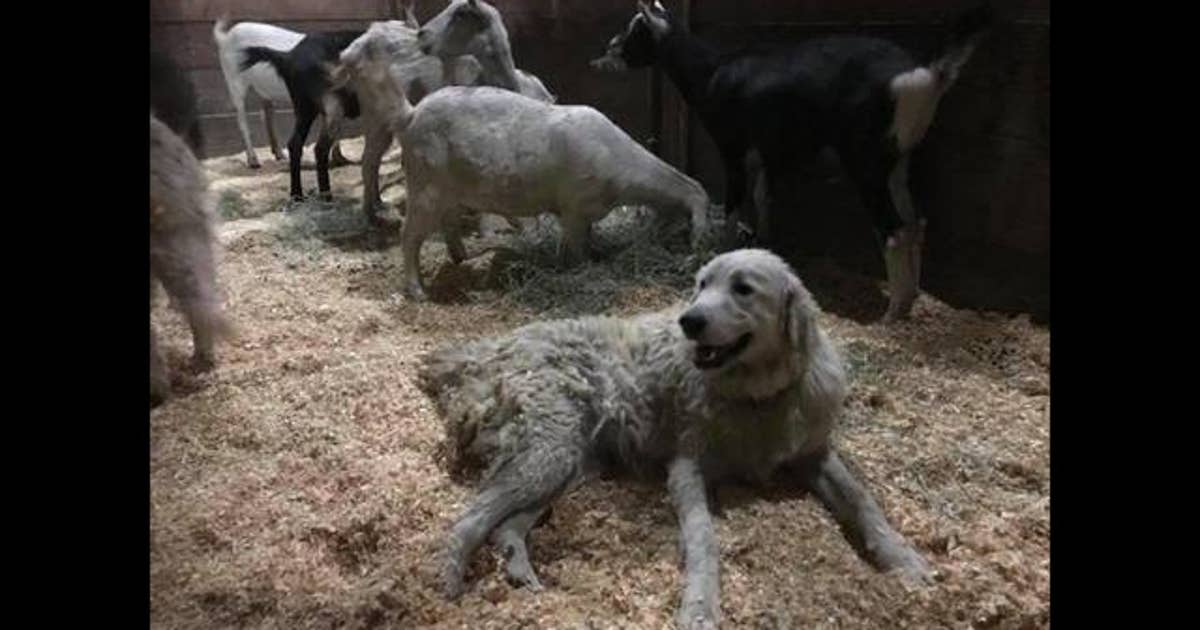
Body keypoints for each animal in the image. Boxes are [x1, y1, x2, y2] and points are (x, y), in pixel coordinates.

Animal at [213, 19, 352, 169]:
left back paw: (280, 155)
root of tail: (226, 36)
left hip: (263, 90)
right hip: (234, 79)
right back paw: (254, 161)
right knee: (242, 118)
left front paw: (342, 159)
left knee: (267, 114)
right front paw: (337, 160)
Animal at [240, 29, 364, 203]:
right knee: (320, 147)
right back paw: (326, 194)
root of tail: (288, 57)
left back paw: (297, 194)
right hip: (330, 107)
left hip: (304, 107)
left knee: (295, 143)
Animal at [339, 51, 713, 301]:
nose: (699, 251)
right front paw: (577, 269)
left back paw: (462, 257)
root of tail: (411, 115)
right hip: (424, 185)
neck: (622, 165)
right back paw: (417, 291)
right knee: (409, 237)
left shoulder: (583, 212)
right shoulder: (574, 208)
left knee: (448, 222)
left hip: (448, 188)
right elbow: (575, 248)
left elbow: (586, 240)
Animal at [592, 1, 993, 322]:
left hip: (867, 161)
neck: (711, 73)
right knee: (916, 222)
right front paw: (765, 246)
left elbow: (736, 203)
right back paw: (912, 297)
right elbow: (763, 196)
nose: (607, 51)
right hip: (900, 160)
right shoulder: (766, 155)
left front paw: (723, 255)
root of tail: (924, 76)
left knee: (894, 231)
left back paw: (893, 313)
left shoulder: (733, 149)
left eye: (636, 29)